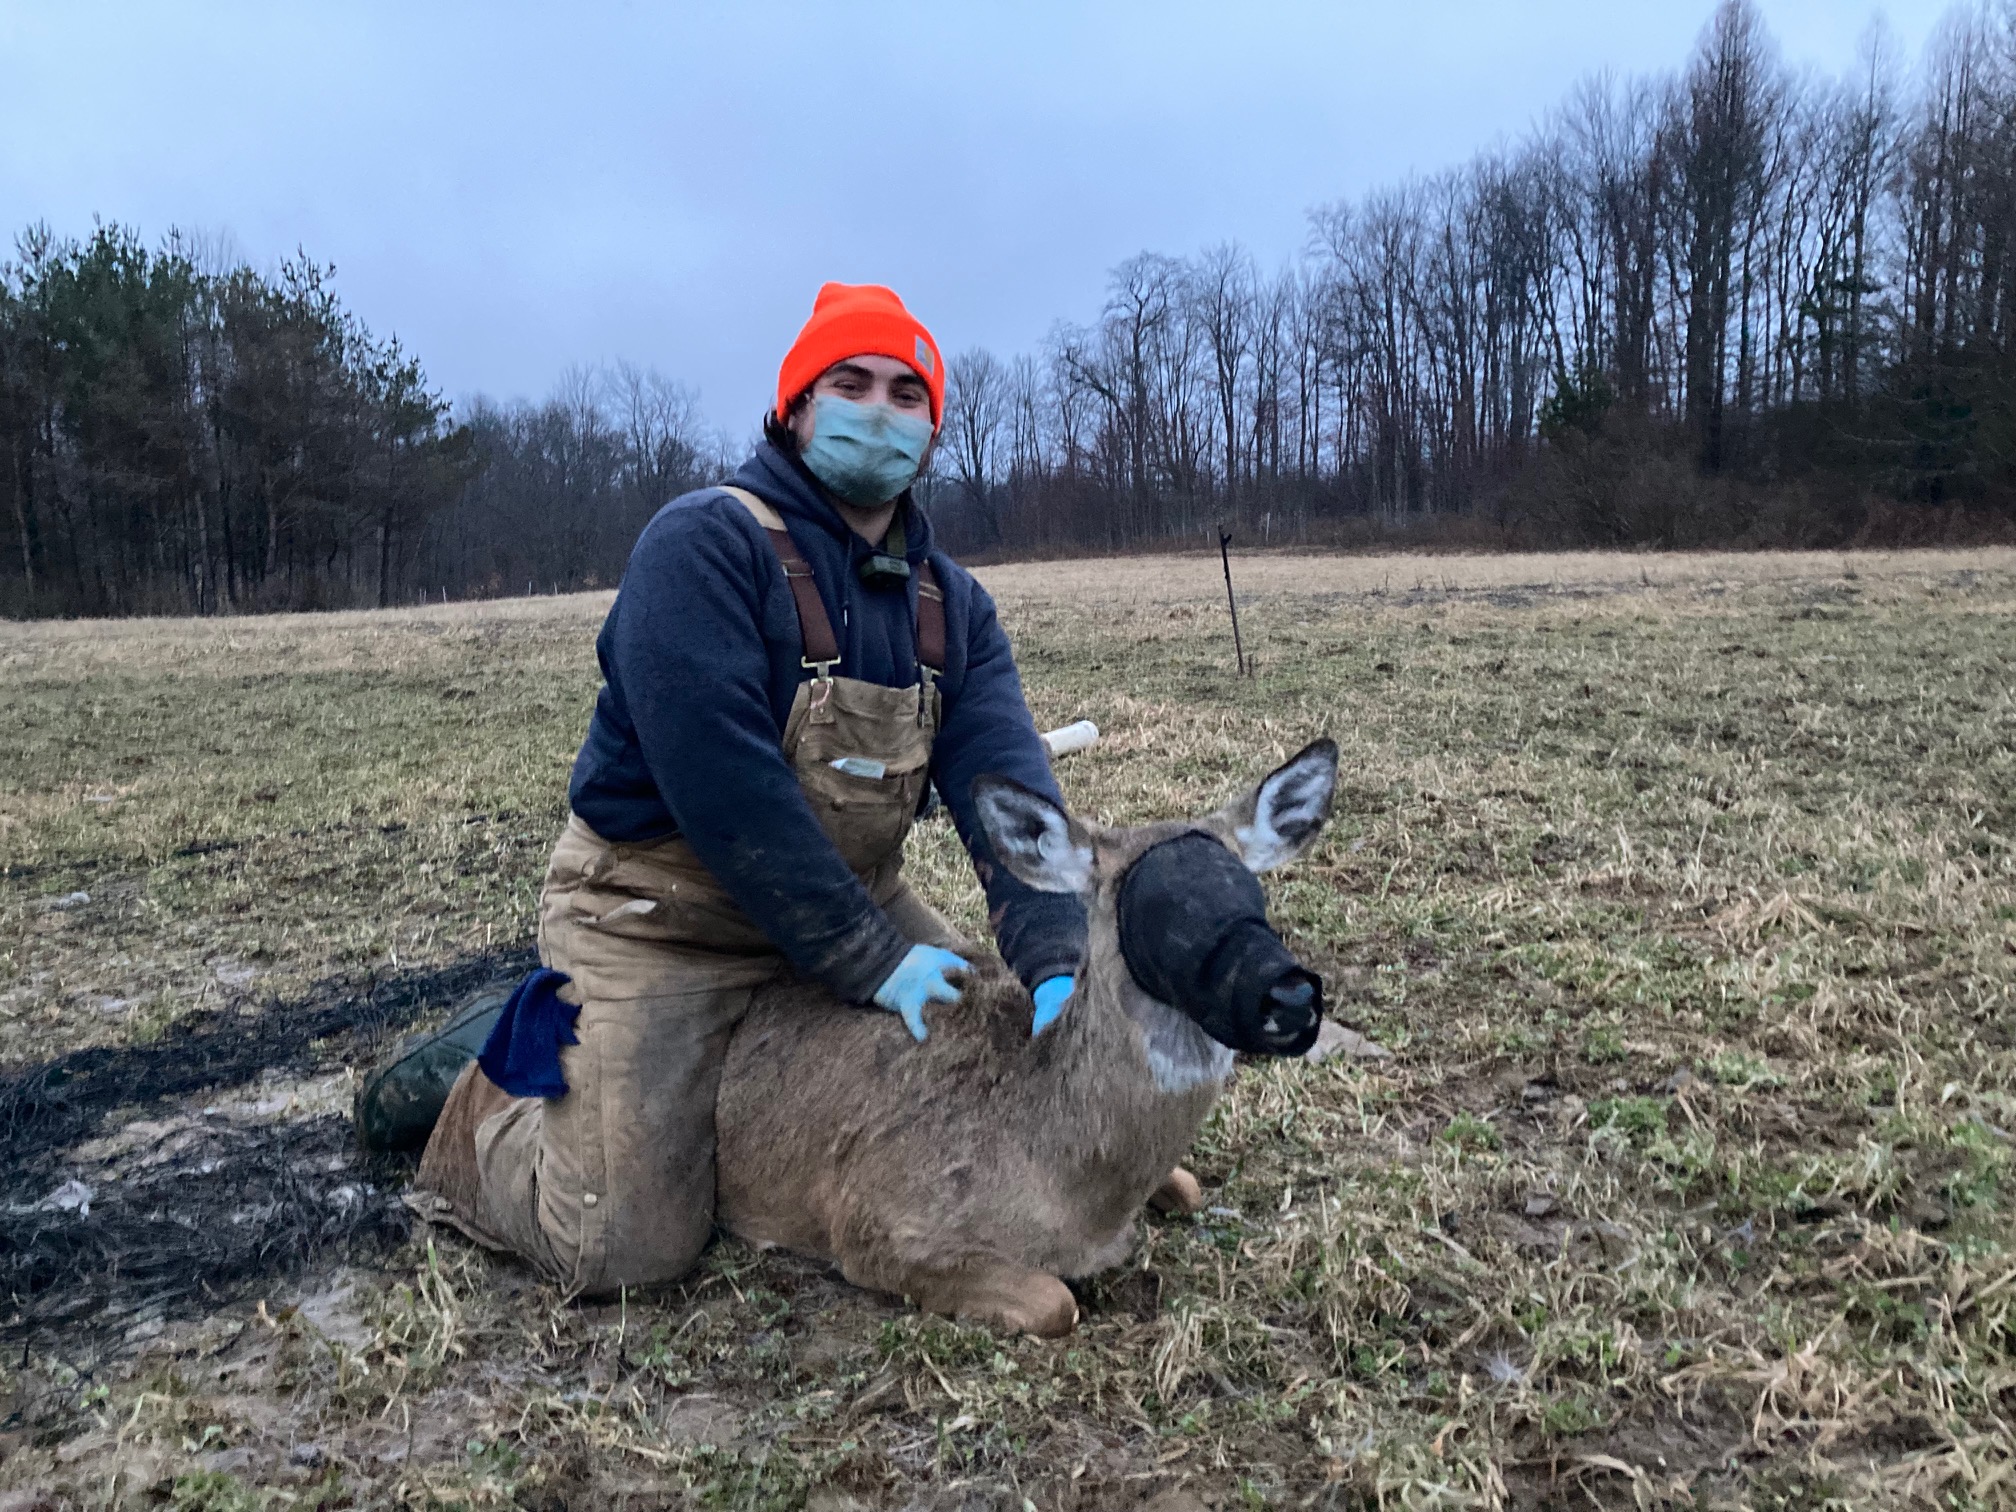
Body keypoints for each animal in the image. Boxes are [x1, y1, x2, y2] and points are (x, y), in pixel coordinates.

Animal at [709, 741, 1338, 1330]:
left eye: (1254, 894)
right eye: (1157, 912)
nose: (1293, 997)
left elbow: (1189, 1189)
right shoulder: (875, 1225)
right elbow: (1056, 1302)